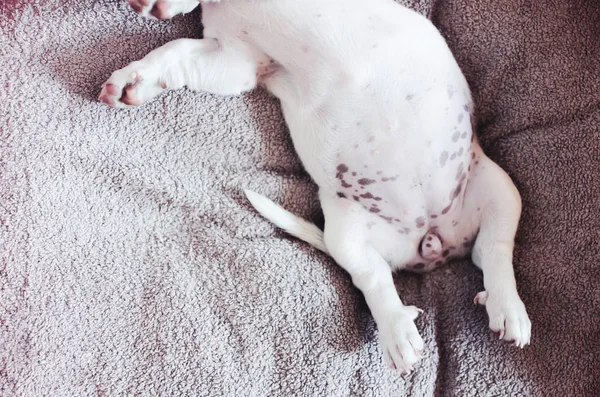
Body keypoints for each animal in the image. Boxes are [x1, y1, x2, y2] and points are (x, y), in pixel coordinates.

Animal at [99, 0, 536, 372]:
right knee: (377, 277)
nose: (140, 4)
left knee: (494, 251)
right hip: (349, 234)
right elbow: (174, 50)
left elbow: (175, 45)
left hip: (499, 190)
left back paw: (507, 307)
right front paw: (134, 79)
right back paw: (399, 330)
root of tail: (432, 245)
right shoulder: (235, 60)